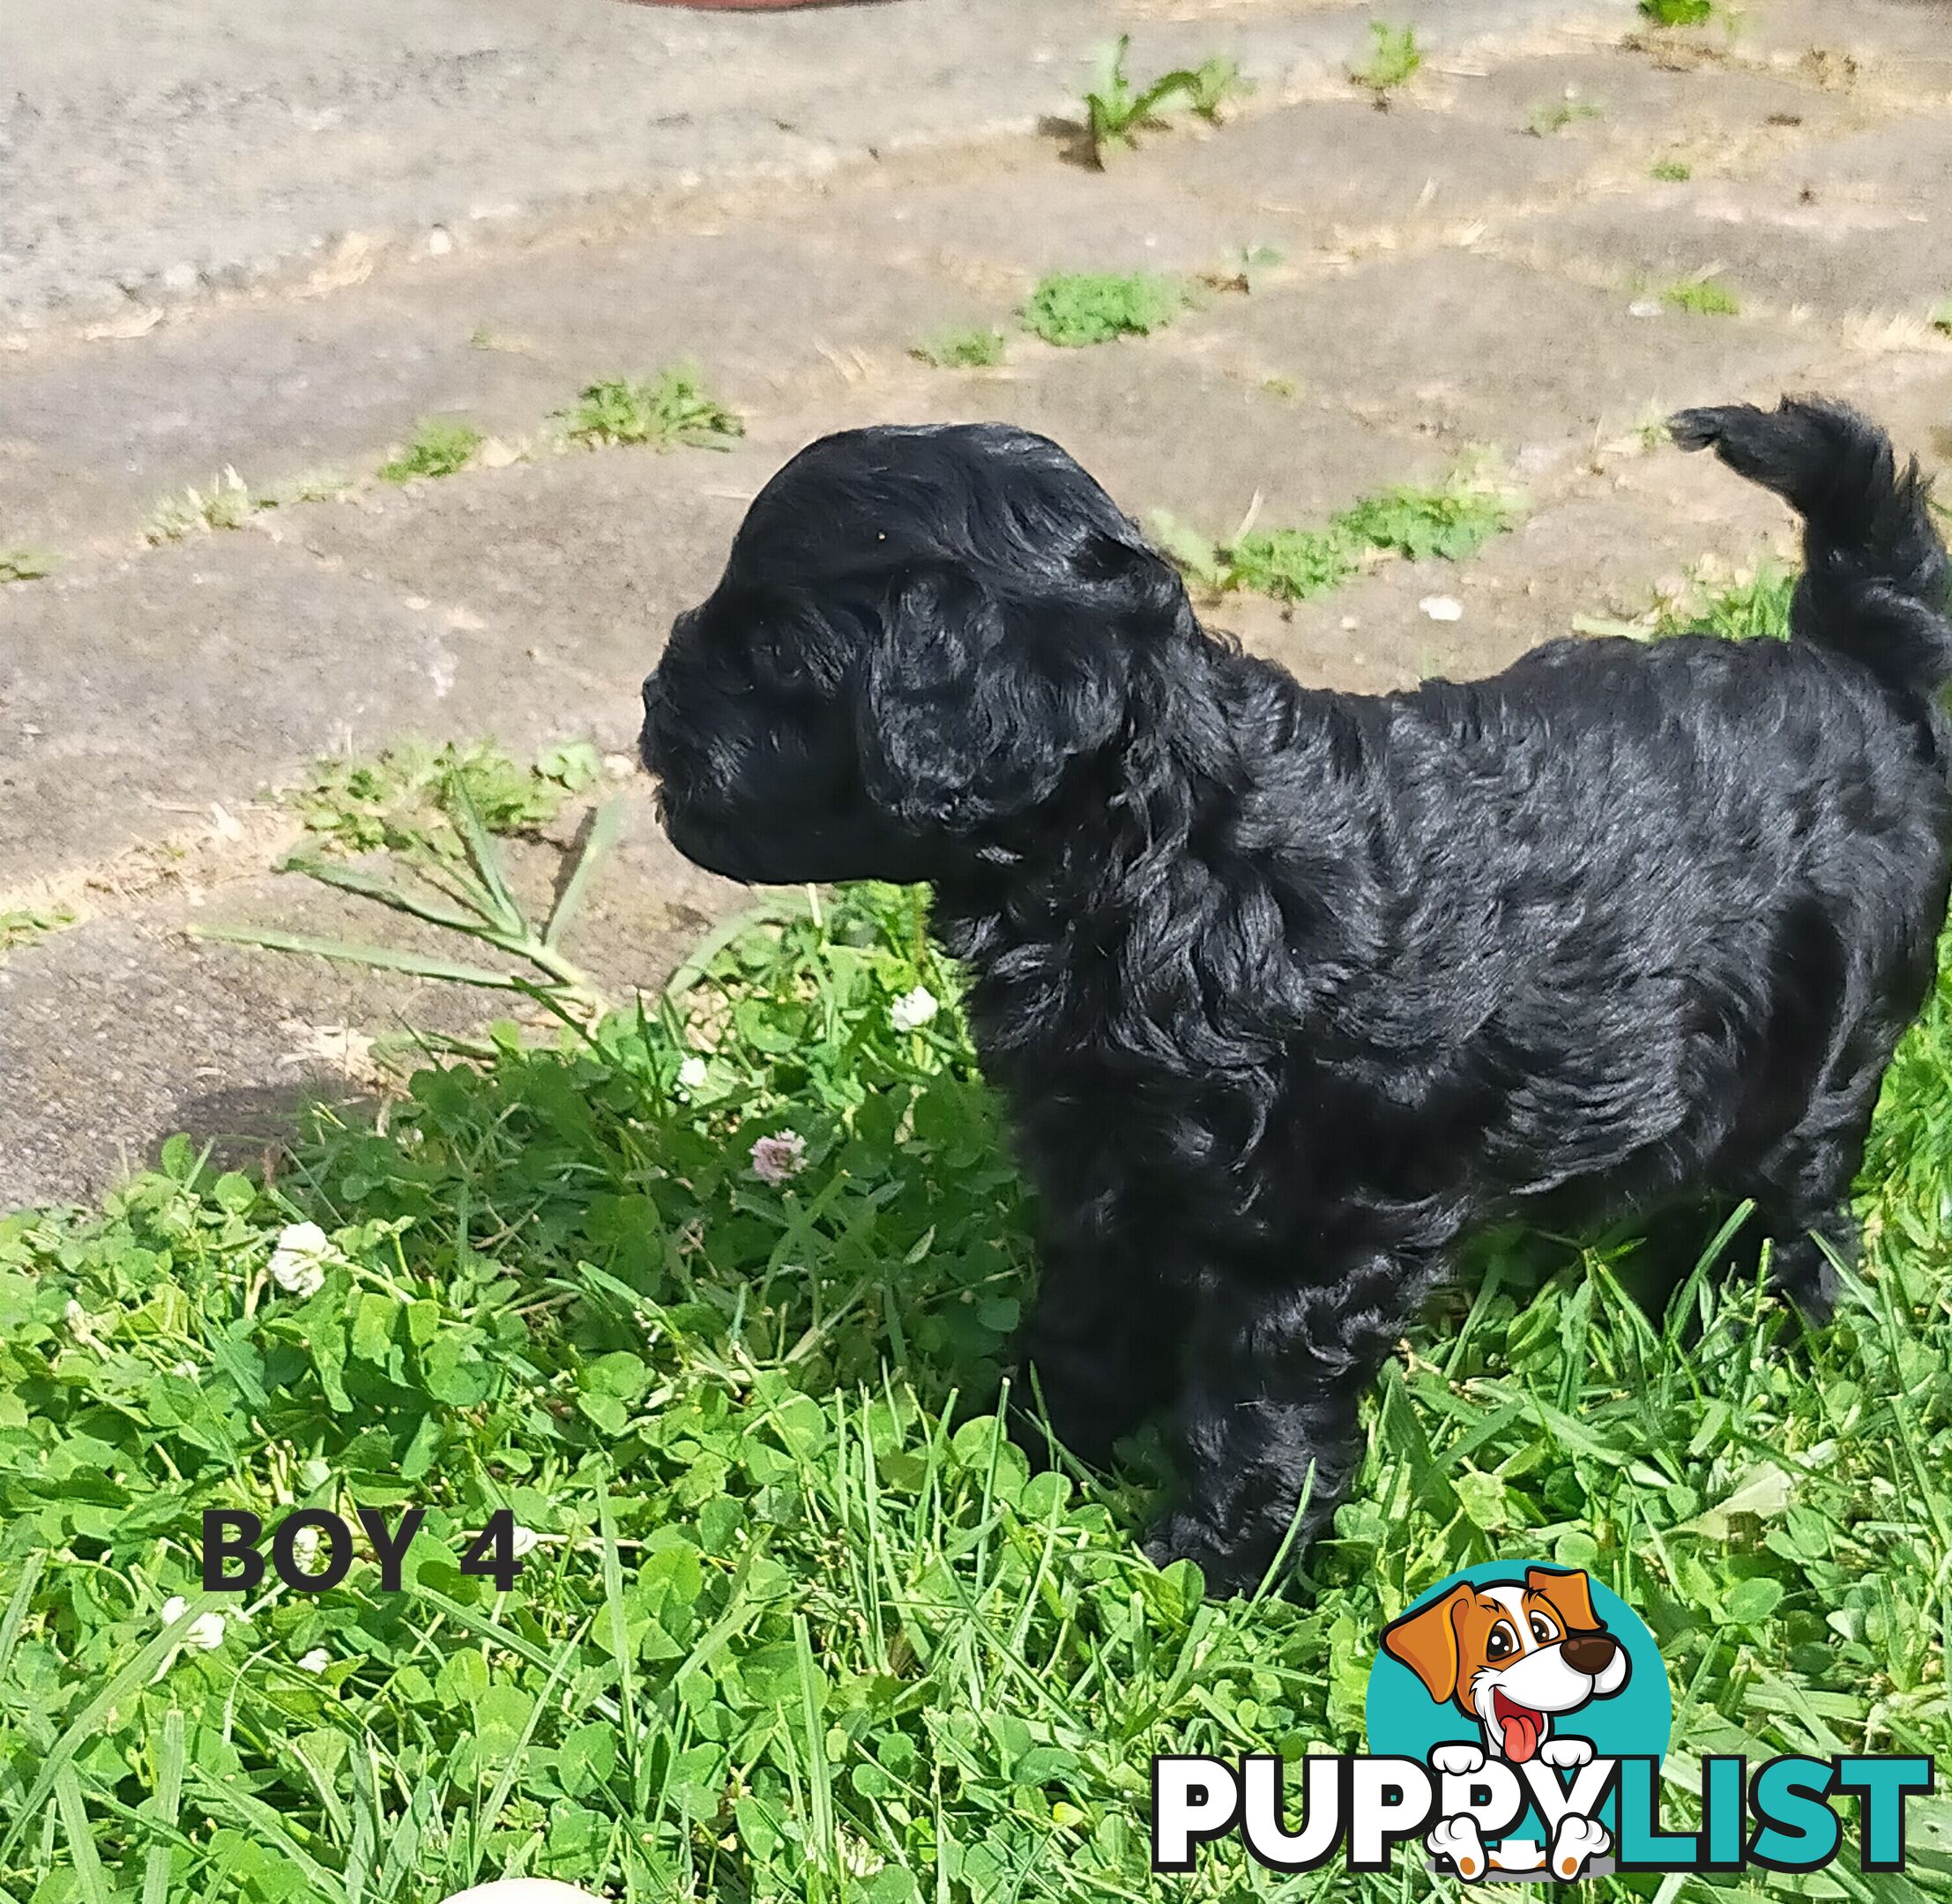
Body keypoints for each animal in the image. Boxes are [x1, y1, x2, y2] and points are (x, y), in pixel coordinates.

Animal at [644, 401, 1952, 1591]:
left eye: (773, 660)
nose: (653, 708)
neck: (1166, 864)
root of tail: (1861, 675)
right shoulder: (1103, 1163)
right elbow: (1088, 1313)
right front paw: (1028, 1446)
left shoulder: (1313, 1231)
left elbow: (1256, 1404)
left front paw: (1214, 1563)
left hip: (1825, 1050)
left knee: (1799, 1198)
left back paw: (1766, 1318)